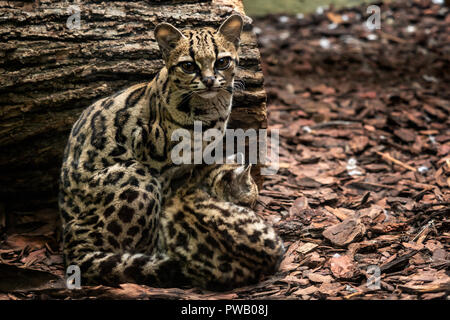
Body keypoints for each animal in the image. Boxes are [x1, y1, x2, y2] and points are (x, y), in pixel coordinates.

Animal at [59, 14, 284, 290]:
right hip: (136, 178)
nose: (209, 80)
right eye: (188, 66)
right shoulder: (151, 157)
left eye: (222, 61)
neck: (210, 111)